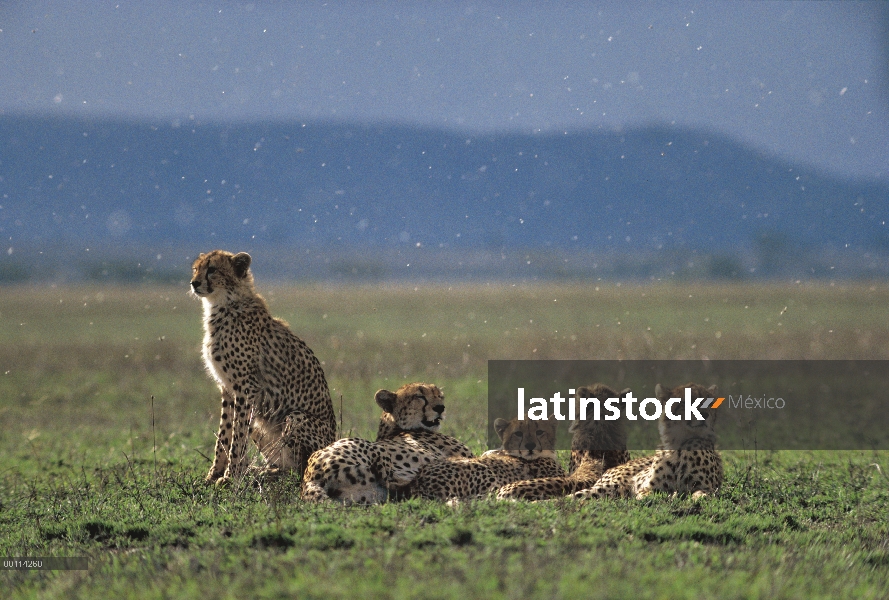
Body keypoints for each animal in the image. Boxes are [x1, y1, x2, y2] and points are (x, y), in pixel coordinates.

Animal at [190, 251, 336, 486]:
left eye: (212, 269)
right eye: (196, 269)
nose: (194, 283)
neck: (223, 303)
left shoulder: (247, 388)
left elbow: (238, 435)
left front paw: (231, 477)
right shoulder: (228, 389)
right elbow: (225, 433)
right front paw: (214, 475)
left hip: (293, 417)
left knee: (299, 471)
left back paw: (263, 474)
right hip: (263, 425)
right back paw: (260, 472)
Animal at [300, 382, 472, 504]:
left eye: (440, 396)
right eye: (420, 396)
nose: (440, 408)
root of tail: (309, 477)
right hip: (372, 448)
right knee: (399, 482)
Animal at [568, 384, 720, 502]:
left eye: (709, 402)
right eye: (687, 401)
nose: (705, 415)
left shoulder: (708, 488)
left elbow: (702, 494)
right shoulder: (648, 488)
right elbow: (646, 494)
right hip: (608, 486)